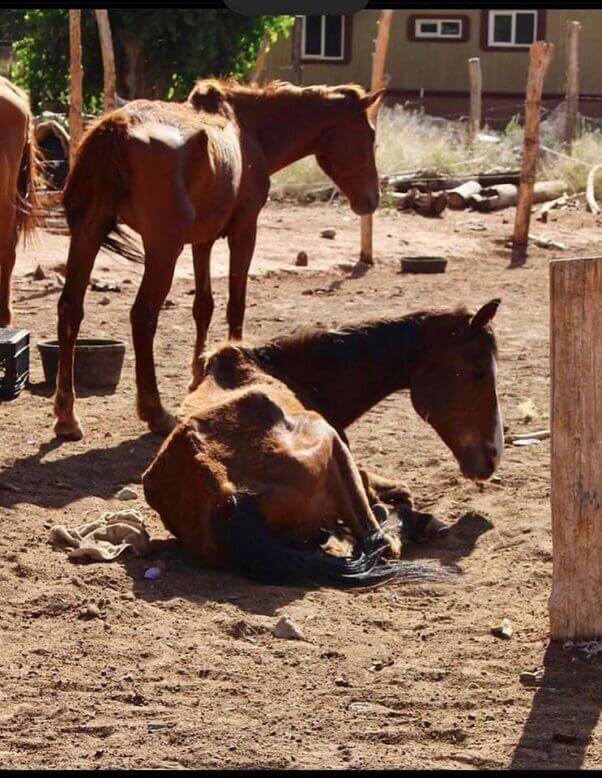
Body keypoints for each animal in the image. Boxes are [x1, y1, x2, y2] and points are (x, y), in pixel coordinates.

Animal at [53, 79, 384, 441]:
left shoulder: (203, 240)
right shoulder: (244, 231)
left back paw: (67, 417)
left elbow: (204, 306)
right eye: (370, 134)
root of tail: (117, 127)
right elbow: (235, 305)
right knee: (143, 316)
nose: (372, 200)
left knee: (70, 309)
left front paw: (200, 376)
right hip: (163, 250)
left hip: (89, 233)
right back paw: (155, 412)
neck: (247, 128)